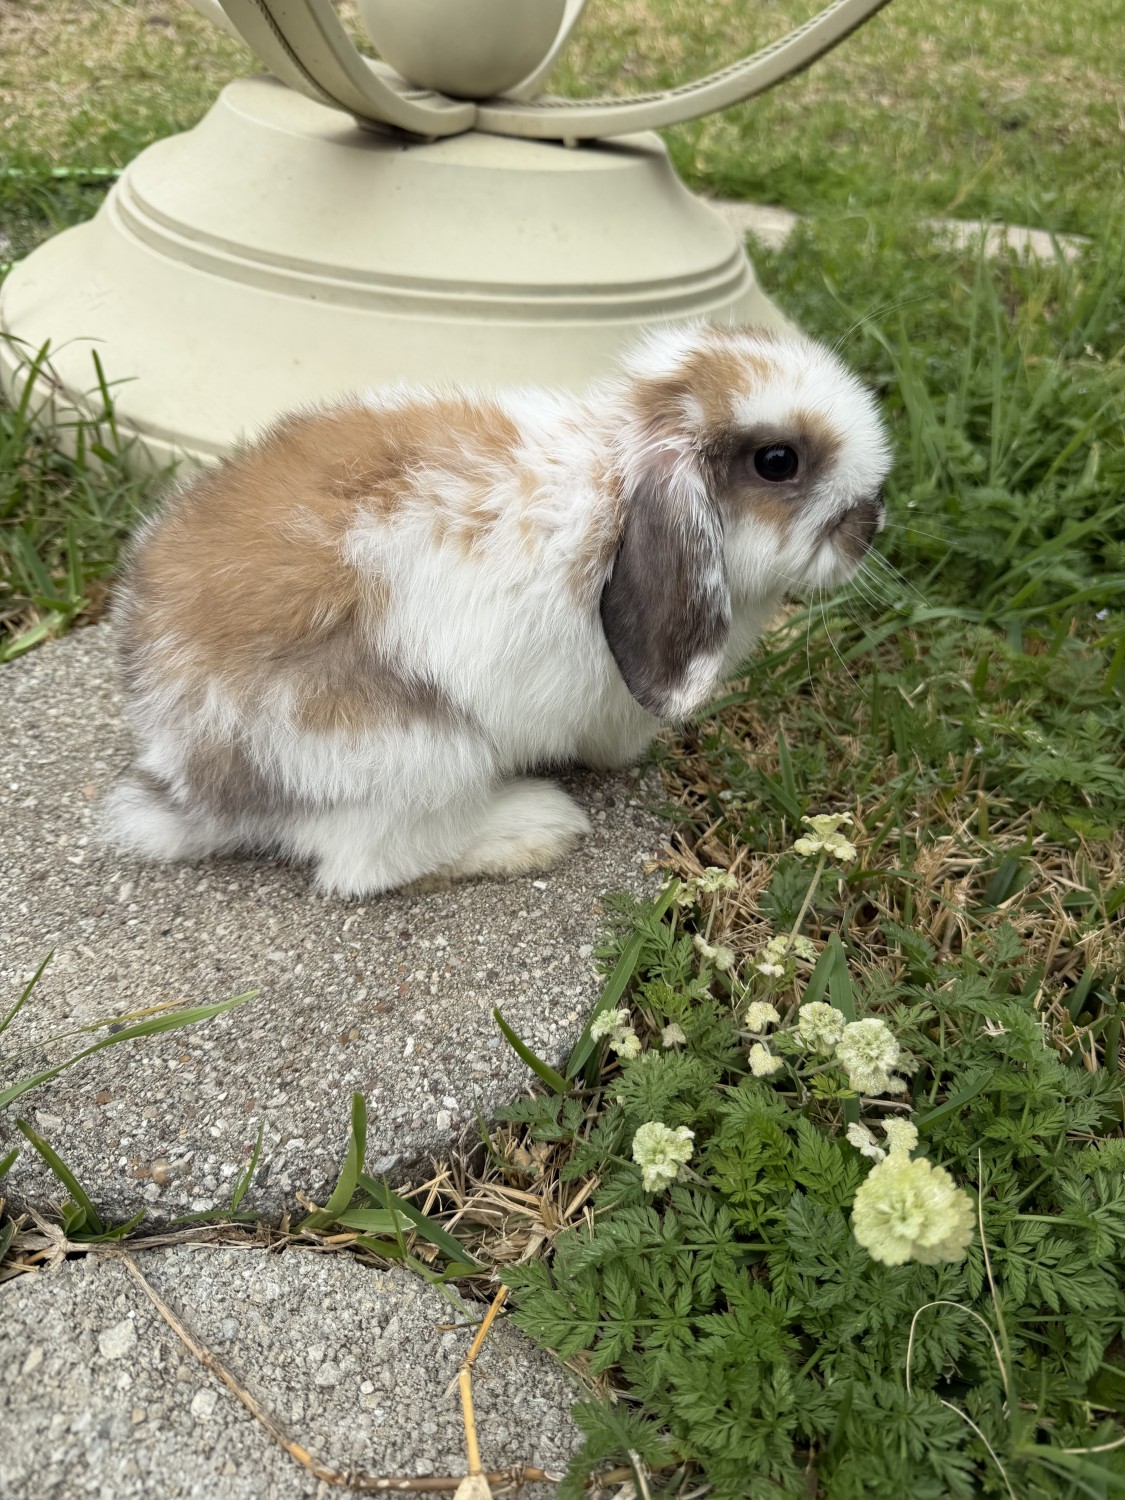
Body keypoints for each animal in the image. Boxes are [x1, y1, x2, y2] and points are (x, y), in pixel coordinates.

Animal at [103, 322, 891, 897]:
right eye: (778, 461)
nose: (873, 517)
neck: (613, 487)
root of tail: (190, 783)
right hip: (418, 753)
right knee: (368, 865)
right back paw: (535, 826)